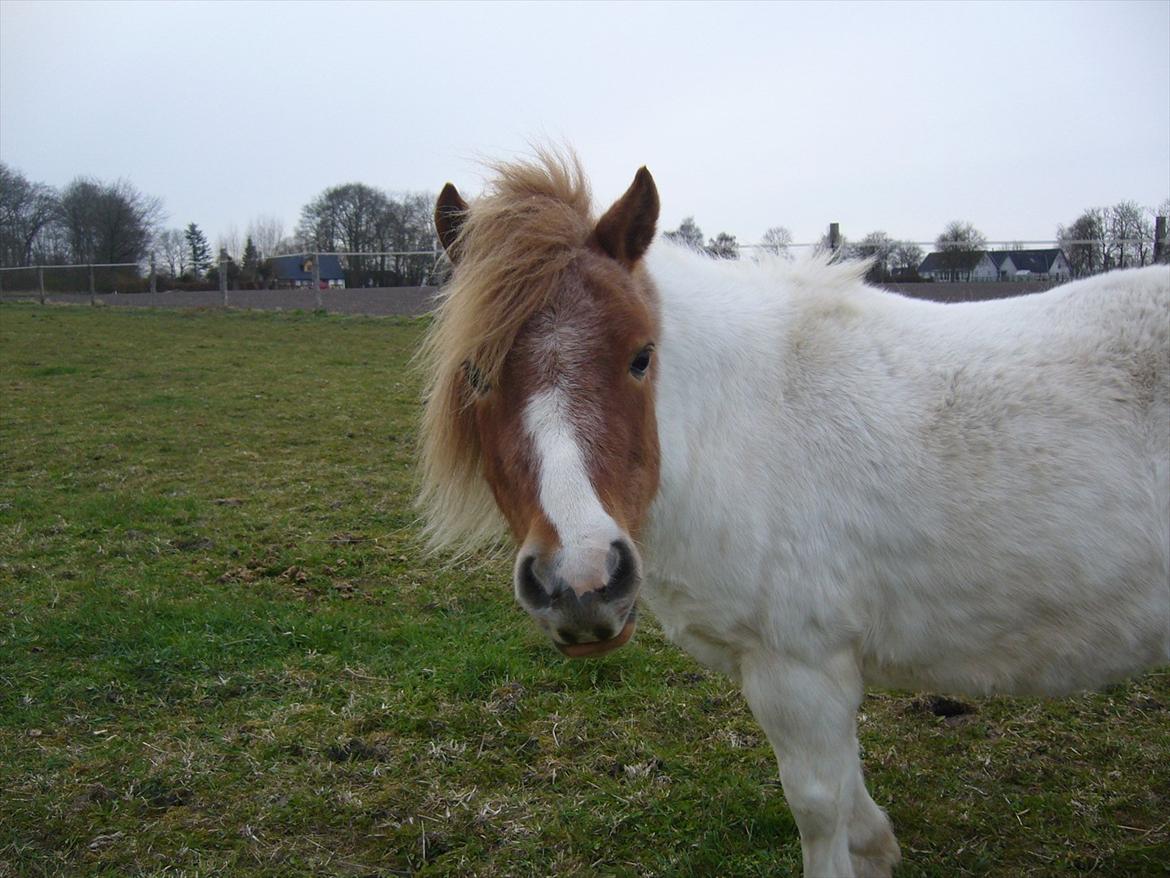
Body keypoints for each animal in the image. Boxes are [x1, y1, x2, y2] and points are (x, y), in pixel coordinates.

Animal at [421, 153, 1170, 878]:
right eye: (476, 374)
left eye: (641, 357)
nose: (580, 582)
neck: (744, 421)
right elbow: (857, 813)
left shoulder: (801, 672)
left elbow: (818, 808)